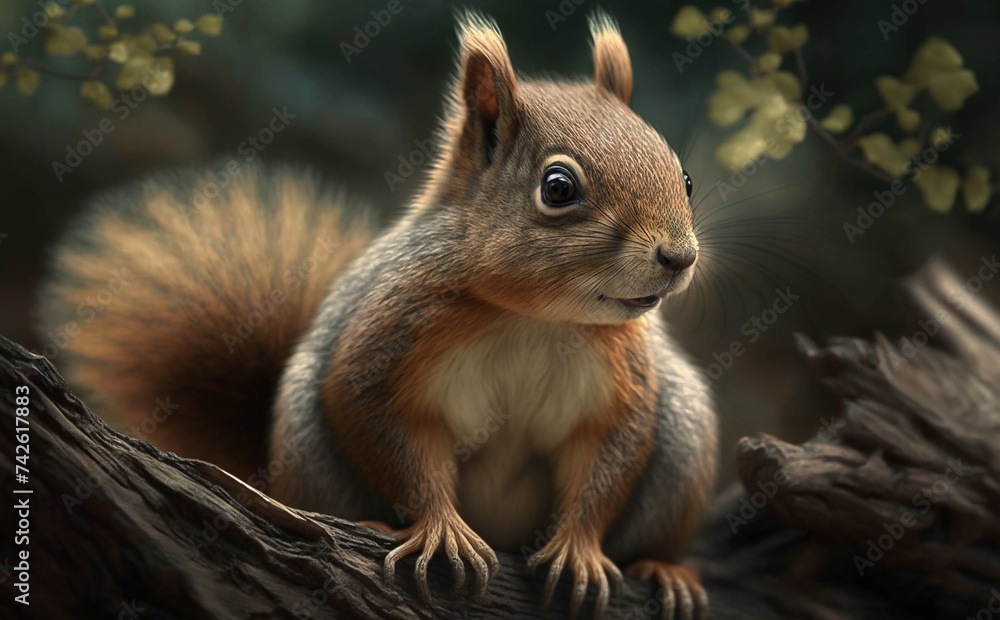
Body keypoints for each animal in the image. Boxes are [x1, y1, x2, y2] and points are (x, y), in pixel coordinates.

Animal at [39, 12, 717, 620]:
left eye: (683, 175)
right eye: (557, 188)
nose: (678, 256)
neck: (533, 318)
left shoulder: (620, 380)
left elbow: (607, 455)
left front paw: (578, 549)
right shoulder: (389, 336)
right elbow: (386, 428)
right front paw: (440, 529)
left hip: (685, 445)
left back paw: (666, 570)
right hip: (307, 445)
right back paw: (365, 522)